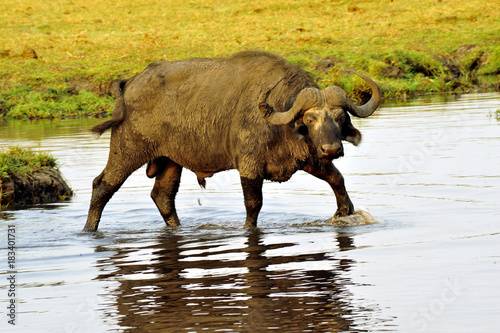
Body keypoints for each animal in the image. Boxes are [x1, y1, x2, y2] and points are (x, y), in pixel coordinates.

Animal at [83, 50, 378, 231]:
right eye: (311, 118)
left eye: (340, 117)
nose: (332, 148)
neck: (278, 123)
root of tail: (129, 83)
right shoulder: (249, 166)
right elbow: (253, 204)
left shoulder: (308, 158)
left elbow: (337, 178)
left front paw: (345, 210)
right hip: (127, 150)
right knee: (102, 186)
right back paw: (89, 230)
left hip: (170, 160)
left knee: (162, 197)